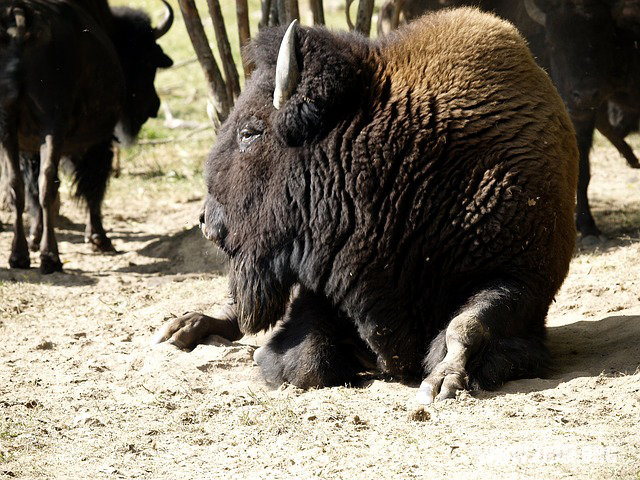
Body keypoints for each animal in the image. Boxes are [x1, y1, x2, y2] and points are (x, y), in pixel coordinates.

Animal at [0, 0, 172, 272]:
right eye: (147, 60)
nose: (154, 106)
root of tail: (21, 20)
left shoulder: (28, 145)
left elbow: (31, 190)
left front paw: (35, 238)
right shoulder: (98, 141)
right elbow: (93, 186)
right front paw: (100, 238)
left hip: (8, 128)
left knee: (17, 185)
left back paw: (19, 256)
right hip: (52, 127)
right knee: (48, 183)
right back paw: (51, 258)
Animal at [156, 9, 580, 404]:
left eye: (250, 132)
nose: (206, 220)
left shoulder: (523, 280)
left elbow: (467, 325)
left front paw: (444, 381)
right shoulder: (325, 281)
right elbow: (307, 358)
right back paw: (182, 327)